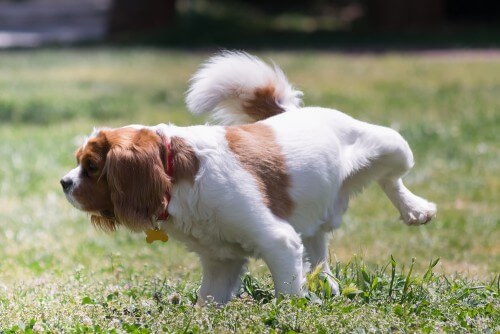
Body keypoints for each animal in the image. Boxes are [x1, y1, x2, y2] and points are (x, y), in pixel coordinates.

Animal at [60, 51, 436, 304]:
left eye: (91, 166)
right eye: (79, 163)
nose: (64, 182)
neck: (176, 176)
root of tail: (293, 112)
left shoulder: (278, 242)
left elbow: (288, 295)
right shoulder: (220, 262)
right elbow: (207, 302)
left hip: (392, 145)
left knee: (392, 177)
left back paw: (415, 209)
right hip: (314, 216)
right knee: (318, 250)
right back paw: (326, 284)